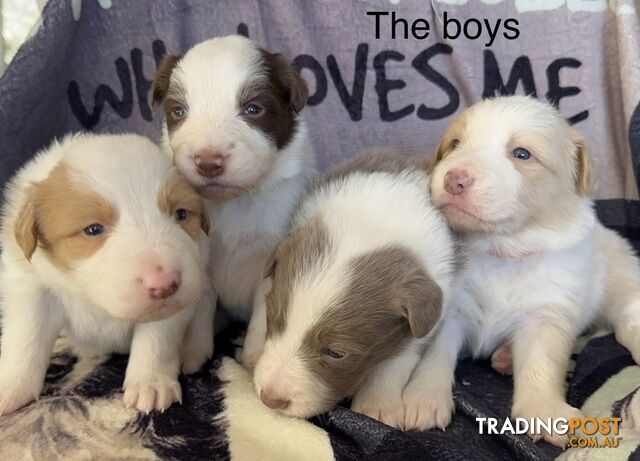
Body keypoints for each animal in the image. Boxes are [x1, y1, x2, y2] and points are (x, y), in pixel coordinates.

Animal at [0, 133, 211, 414]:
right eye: (93, 229)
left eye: (180, 214)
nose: (165, 284)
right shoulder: (32, 286)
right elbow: (26, 337)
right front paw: (12, 384)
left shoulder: (174, 305)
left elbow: (156, 340)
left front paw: (151, 383)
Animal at [152, 33, 318, 370]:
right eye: (178, 112)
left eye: (253, 109)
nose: (207, 163)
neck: (234, 201)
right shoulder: (200, 254)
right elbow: (202, 304)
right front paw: (193, 352)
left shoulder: (273, 258)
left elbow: (262, 315)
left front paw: (252, 358)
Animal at [242, 152, 452, 428]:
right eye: (274, 321)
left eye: (336, 353)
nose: (270, 399)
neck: (374, 221)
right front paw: (252, 351)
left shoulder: (423, 321)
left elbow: (397, 361)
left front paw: (378, 404)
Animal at [402, 97, 640, 446]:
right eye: (455, 144)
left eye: (522, 154)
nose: (454, 178)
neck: (501, 250)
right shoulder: (447, 309)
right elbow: (435, 356)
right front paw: (423, 400)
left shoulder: (547, 312)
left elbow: (541, 364)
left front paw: (544, 411)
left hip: (620, 271)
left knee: (628, 318)